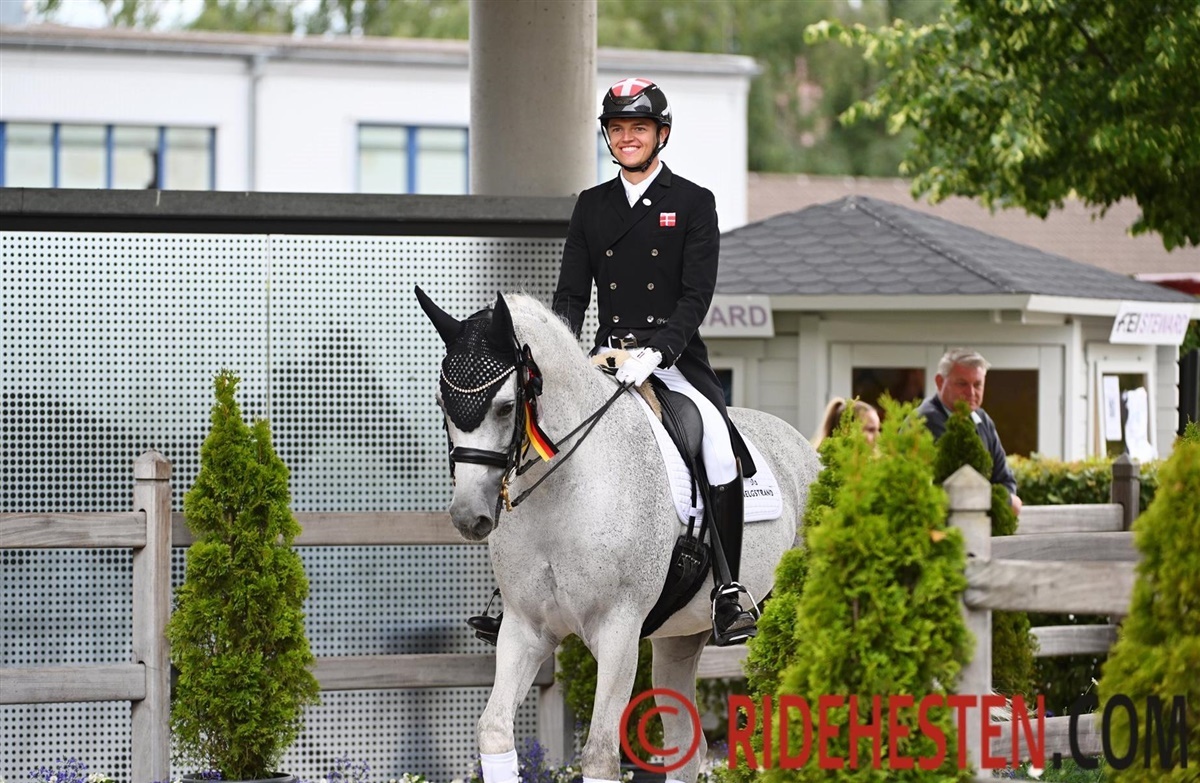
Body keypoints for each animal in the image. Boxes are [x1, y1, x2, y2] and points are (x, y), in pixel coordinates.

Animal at [416, 288, 821, 783]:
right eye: (442, 405)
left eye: (506, 406)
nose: (467, 516)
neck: (562, 492)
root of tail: (805, 449)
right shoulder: (524, 628)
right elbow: (493, 730)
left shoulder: (619, 630)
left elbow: (601, 755)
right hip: (679, 636)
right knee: (688, 744)